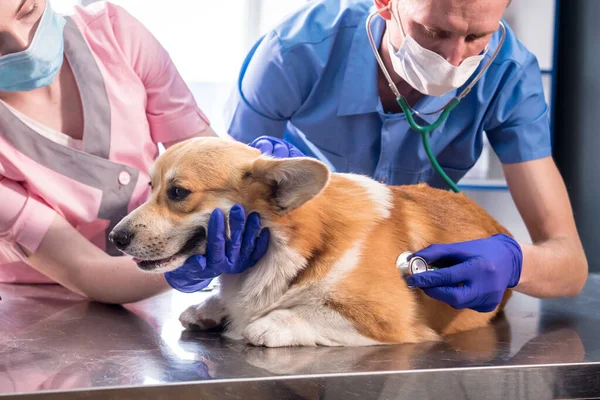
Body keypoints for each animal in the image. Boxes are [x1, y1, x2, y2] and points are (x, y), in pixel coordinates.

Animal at [109, 138, 510, 346]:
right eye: (151, 187)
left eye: (178, 192)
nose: (115, 237)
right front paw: (213, 306)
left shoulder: (389, 318)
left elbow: (310, 311)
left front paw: (268, 322)